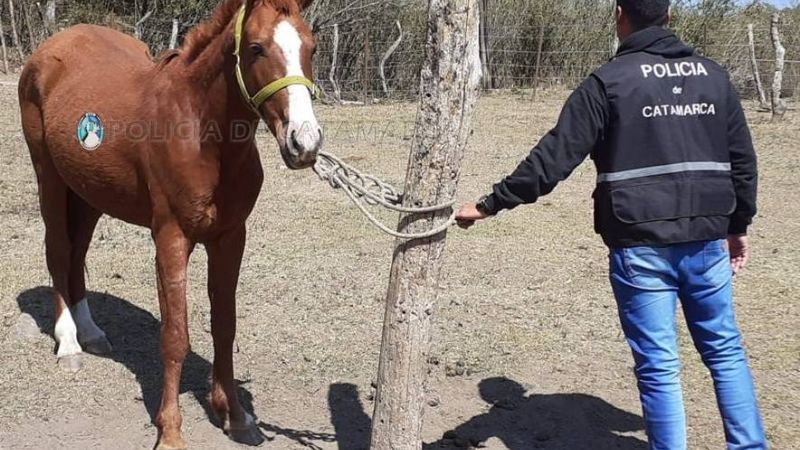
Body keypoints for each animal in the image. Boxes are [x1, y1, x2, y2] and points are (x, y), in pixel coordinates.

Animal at [18, 0, 322, 448]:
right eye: (256, 48)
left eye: (311, 48)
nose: (305, 143)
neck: (201, 133)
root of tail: (51, 48)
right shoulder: (171, 239)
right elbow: (175, 336)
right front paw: (171, 430)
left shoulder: (230, 238)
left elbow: (225, 327)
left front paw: (236, 417)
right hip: (51, 179)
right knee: (58, 251)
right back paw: (69, 343)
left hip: (89, 192)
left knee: (77, 256)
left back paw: (90, 332)